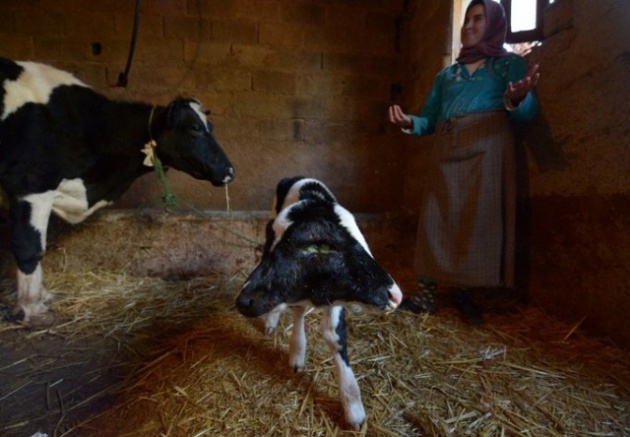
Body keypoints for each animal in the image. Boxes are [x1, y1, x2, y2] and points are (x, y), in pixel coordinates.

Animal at [0, 57, 235, 324]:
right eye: (195, 128)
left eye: (210, 126)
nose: (229, 170)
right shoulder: (30, 185)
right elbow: (29, 247)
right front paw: (32, 308)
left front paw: (44, 295)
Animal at [237, 175, 404, 428]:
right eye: (322, 247)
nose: (395, 294)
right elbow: (296, 311)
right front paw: (297, 354)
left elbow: (334, 335)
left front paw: (353, 408)